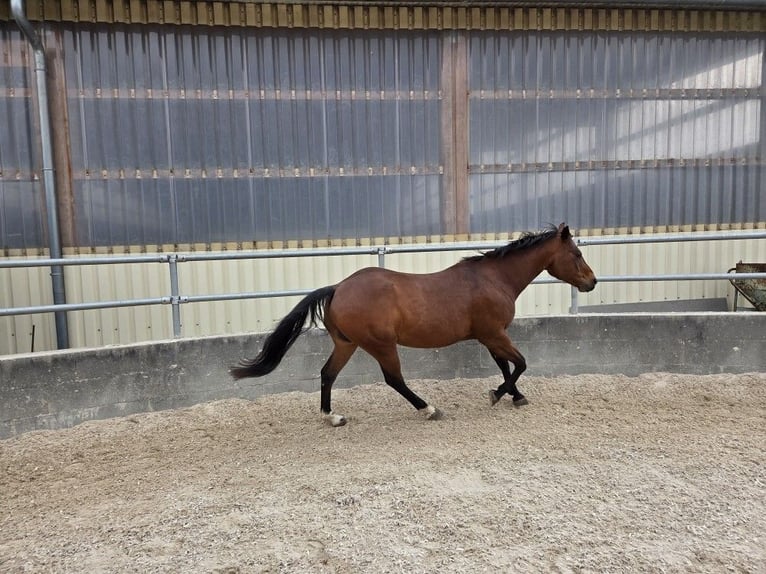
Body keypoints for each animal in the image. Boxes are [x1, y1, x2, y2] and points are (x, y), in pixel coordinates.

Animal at [231, 223, 597, 427]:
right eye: (577, 254)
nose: (592, 282)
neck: (495, 278)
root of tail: (338, 288)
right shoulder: (494, 333)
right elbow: (519, 363)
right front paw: (497, 395)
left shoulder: (490, 336)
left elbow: (505, 365)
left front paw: (515, 396)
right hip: (381, 345)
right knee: (394, 379)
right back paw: (429, 409)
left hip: (347, 344)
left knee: (327, 374)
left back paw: (333, 417)